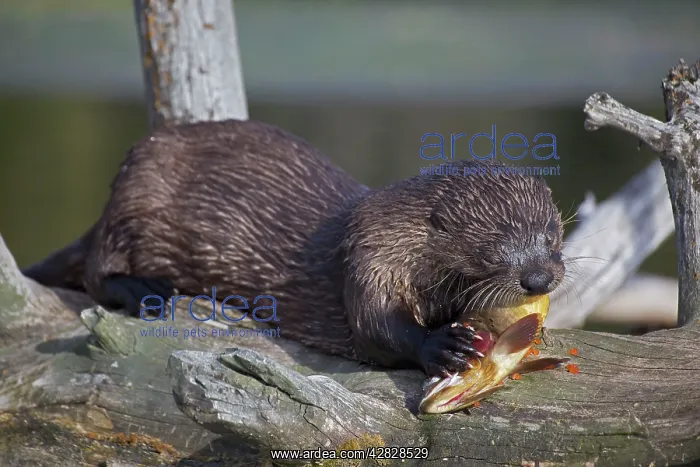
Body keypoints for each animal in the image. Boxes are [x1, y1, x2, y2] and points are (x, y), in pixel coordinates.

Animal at [22, 119, 565, 377]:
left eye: (552, 237)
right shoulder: (370, 257)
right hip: (136, 192)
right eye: (495, 249)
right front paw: (442, 345)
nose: (538, 277)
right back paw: (143, 289)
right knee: (97, 271)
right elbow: (376, 328)